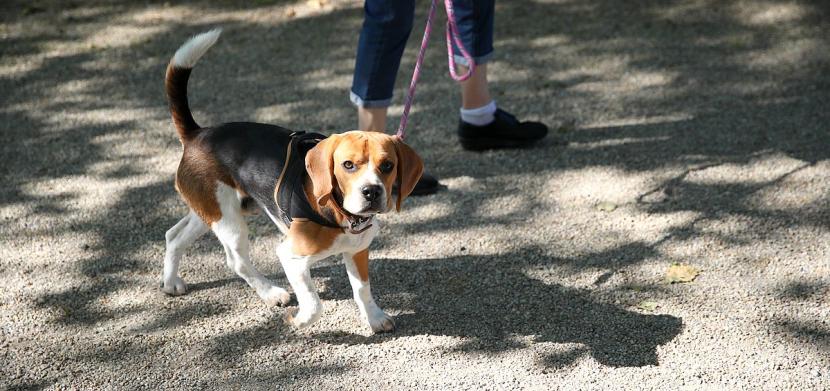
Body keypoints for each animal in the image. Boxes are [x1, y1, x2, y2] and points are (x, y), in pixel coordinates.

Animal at [160, 29, 426, 334]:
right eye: (348, 165)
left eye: (387, 166)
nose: (371, 191)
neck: (340, 213)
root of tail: (198, 133)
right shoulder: (291, 256)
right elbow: (314, 303)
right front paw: (298, 320)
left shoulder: (358, 250)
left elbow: (362, 290)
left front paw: (374, 317)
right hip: (229, 222)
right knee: (237, 261)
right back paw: (271, 292)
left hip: (213, 210)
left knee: (173, 235)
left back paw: (171, 282)